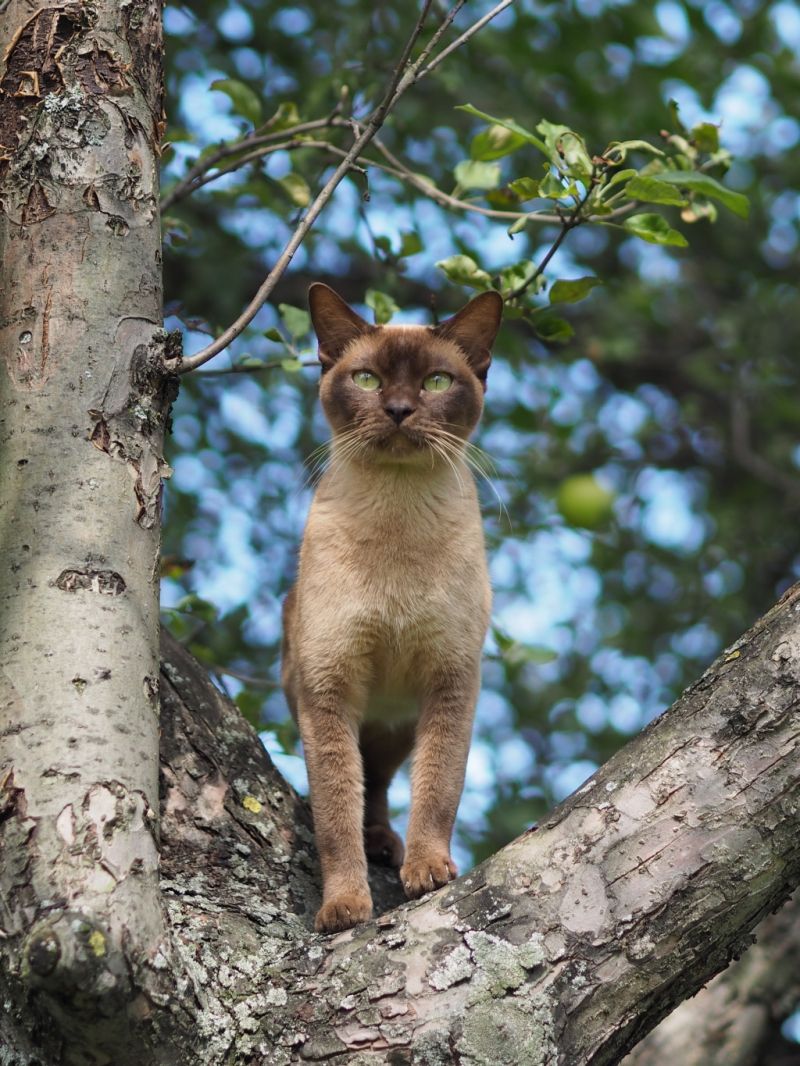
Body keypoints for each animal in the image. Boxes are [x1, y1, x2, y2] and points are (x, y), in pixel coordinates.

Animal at [283, 283, 501, 933]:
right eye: (366, 379)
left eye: (435, 382)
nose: (401, 409)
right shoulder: (327, 688)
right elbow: (334, 813)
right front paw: (344, 907)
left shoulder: (450, 682)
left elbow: (437, 791)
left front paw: (428, 872)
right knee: (362, 790)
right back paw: (376, 846)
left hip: (395, 725)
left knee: (379, 782)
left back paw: (389, 847)